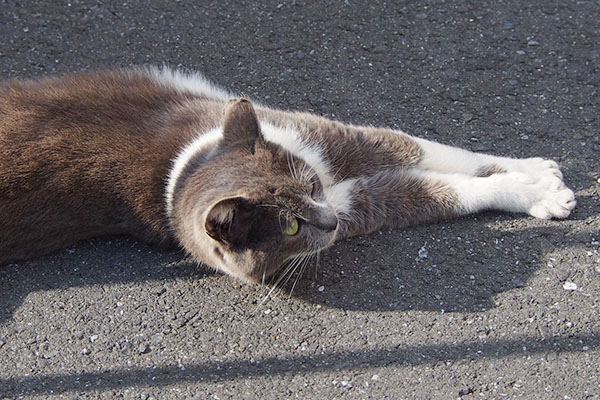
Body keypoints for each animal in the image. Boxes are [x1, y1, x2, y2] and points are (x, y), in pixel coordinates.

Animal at [0, 67, 576, 282]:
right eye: (291, 227)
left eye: (312, 187)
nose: (329, 223)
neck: (181, 168)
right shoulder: (359, 202)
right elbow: (440, 188)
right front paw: (535, 192)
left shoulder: (333, 138)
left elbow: (439, 151)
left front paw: (533, 169)